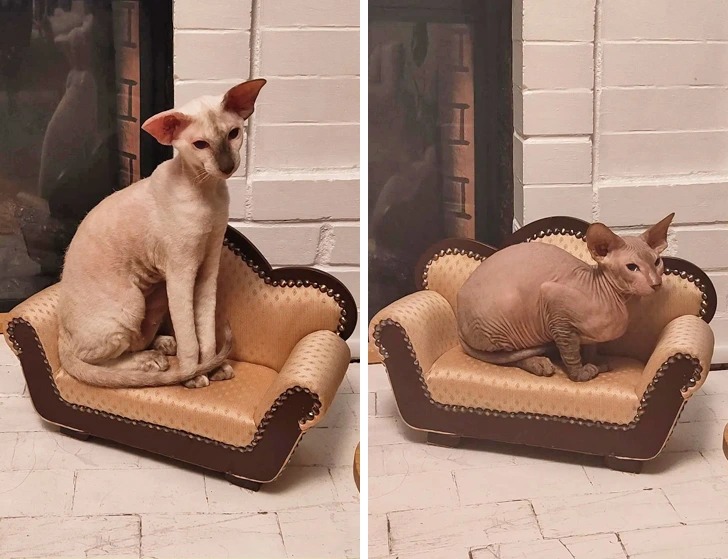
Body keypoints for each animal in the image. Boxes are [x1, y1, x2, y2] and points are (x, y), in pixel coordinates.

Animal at [57, 78, 267, 388]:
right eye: (200, 145)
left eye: (233, 134)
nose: (227, 166)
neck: (207, 192)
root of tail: (60, 332)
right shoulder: (181, 272)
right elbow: (190, 336)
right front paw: (193, 375)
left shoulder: (208, 267)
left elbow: (205, 331)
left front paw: (213, 367)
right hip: (132, 303)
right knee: (94, 361)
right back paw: (151, 362)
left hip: (154, 298)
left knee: (138, 339)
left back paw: (163, 346)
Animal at [457, 214, 674, 381]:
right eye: (632, 267)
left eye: (657, 262)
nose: (656, 283)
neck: (617, 300)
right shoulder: (553, 301)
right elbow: (570, 351)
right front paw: (582, 372)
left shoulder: (590, 336)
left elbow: (591, 347)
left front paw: (594, 361)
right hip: (509, 314)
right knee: (508, 355)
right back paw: (539, 364)